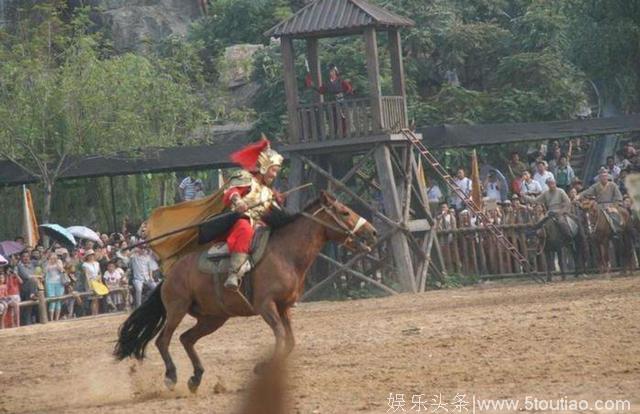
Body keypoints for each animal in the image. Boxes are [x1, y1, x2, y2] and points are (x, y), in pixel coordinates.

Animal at [115, 192, 378, 392]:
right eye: (344, 212)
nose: (373, 232)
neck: (285, 253)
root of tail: (168, 276)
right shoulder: (266, 305)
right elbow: (280, 336)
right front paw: (262, 367)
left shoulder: (284, 307)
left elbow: (290, 341)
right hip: (177, 309)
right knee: (163, 340)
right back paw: (171, 375)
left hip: (213, 318)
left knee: (186, 339)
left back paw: (196, 377)